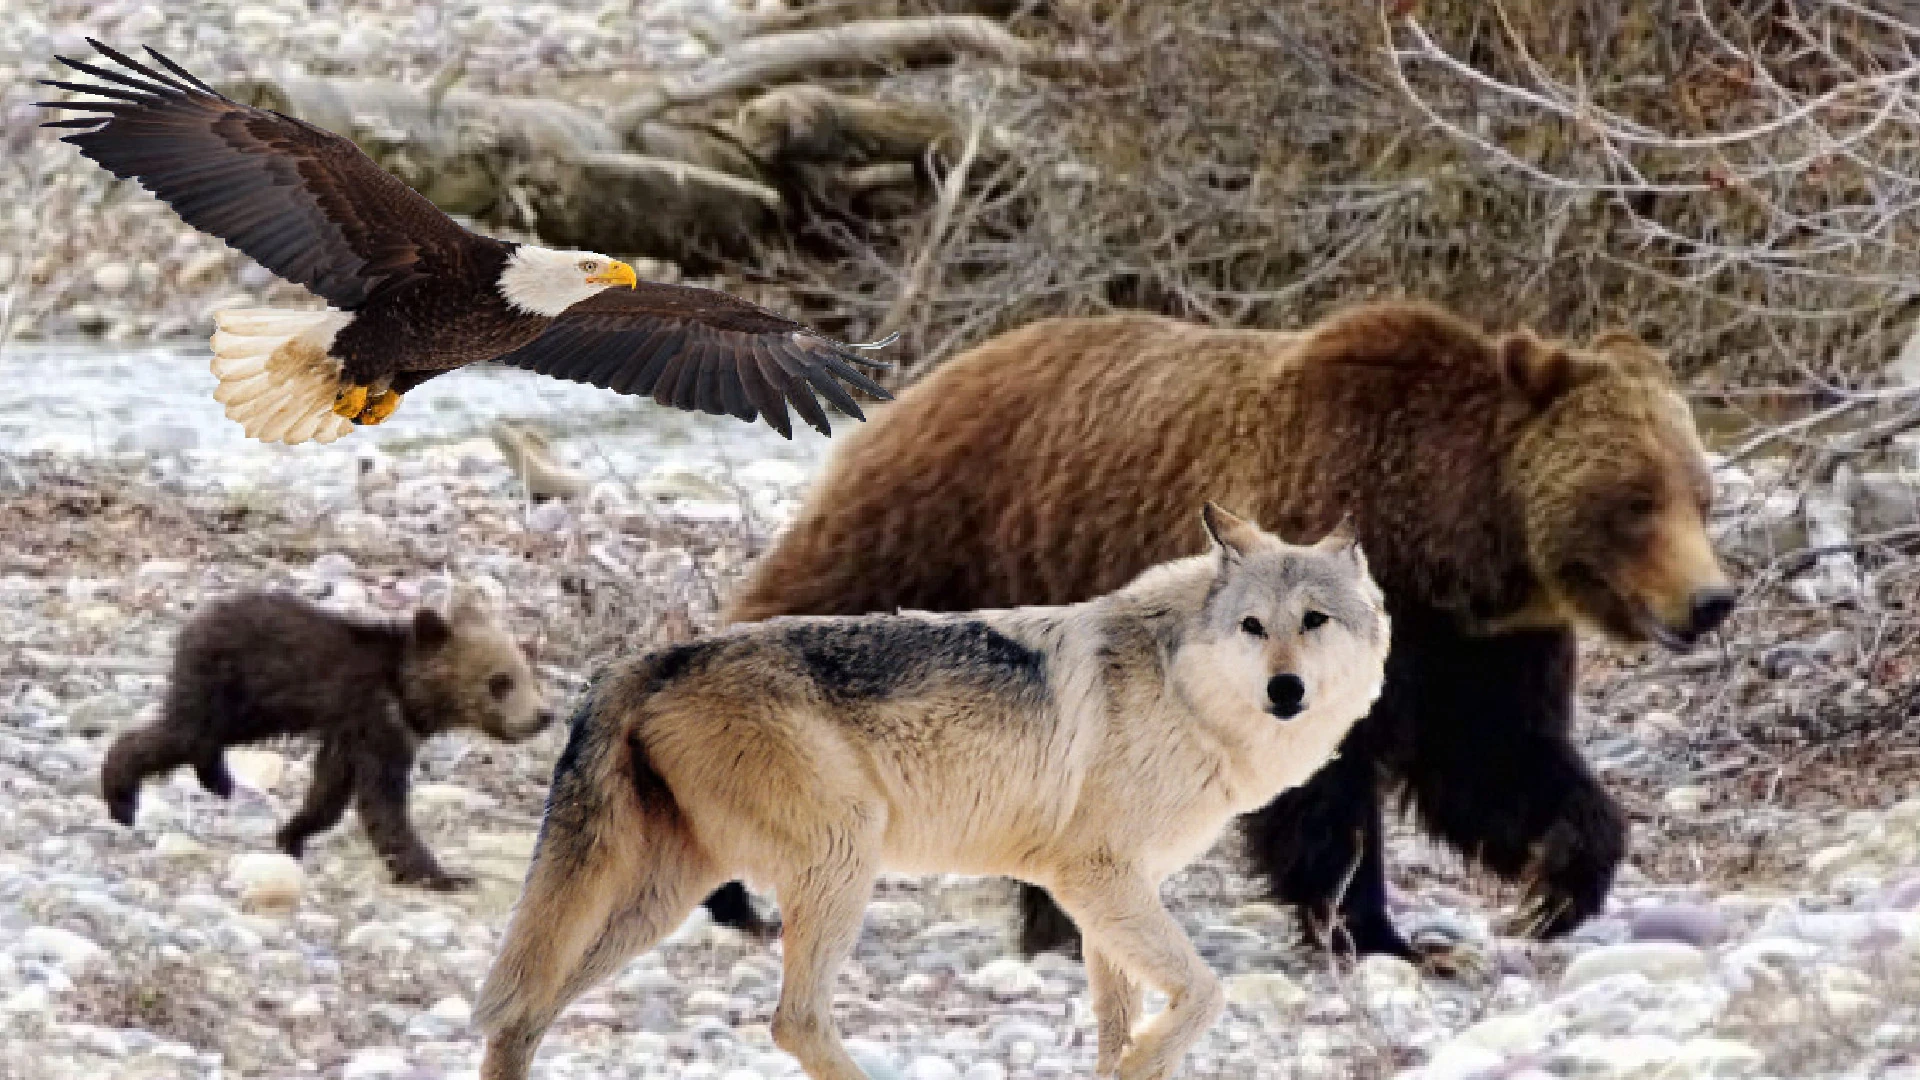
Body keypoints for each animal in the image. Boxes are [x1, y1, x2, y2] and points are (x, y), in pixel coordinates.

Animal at [102, 586, 555, 889]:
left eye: (527, 675)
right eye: (500, 681)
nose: (542, 715)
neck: (406, 692)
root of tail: (194, 621)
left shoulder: (350, 732)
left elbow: (330, 792)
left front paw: (292, 834)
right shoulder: (377, 722)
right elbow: (384, 804)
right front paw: (442, 875)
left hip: (247, 708)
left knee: (199, 738)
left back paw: (214, 780)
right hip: (230, 687)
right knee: (181, 733)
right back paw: (121, 798)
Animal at [702, 299, 1736, 962]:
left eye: (1699, 493)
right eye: (1636, 501)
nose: (1712, 600)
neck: (1448, 536)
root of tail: (933, 376)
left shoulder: (1475, 646)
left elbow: (1497, 760)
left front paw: (1556, 884)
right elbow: (1323, 792)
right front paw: (1376, 933)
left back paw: (1062, 926)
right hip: (939, 534)